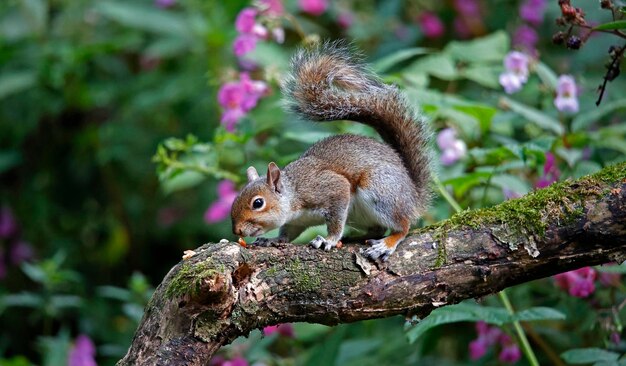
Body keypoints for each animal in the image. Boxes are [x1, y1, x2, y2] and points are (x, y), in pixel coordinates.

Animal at [229, 41, 428, 260]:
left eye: (258, 203)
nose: (237, 230)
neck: (294, 194)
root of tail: (413, 197)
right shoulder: (296, 221)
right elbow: (288, 233)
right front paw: (273, 240)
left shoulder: (331, 188)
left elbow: (335, 221)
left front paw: (329, 240)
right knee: (377, 229)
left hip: (381, 191)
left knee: (403, 225)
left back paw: (386, 244)